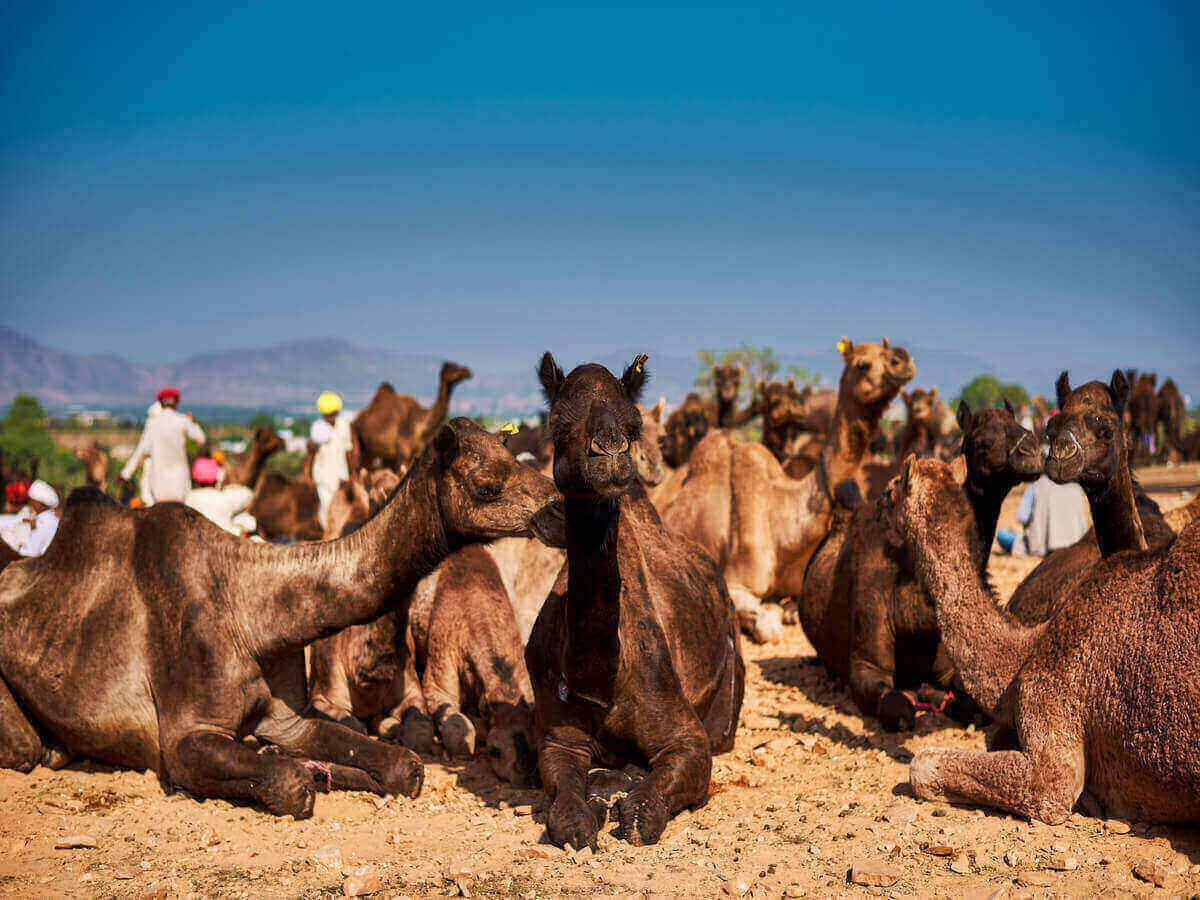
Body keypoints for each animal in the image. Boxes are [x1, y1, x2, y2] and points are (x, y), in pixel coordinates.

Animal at [0, 420, 562, 817]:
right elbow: (291, 783)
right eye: (487, 483)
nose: (559, 506)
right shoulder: (183, 737)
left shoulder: (288, 717)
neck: (253, 614)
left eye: (517, 460)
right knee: (23, 748)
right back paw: (52, 750)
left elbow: (405, 767)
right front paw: (300, 772)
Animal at [526, 354, 744, 848]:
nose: (611, 452)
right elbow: (566, 815)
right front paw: (586, 809)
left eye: (633, 423)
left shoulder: (688, 737)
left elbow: (646, 813)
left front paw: (627, 800)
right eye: (558, 425)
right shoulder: (557, 738)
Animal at [798, 399, 1041, 730]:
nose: (1033, 450)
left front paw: (938, 695)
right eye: (982, 442)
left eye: (1020, 424)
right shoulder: (866, 664)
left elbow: (971, 702)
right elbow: (899, 707)